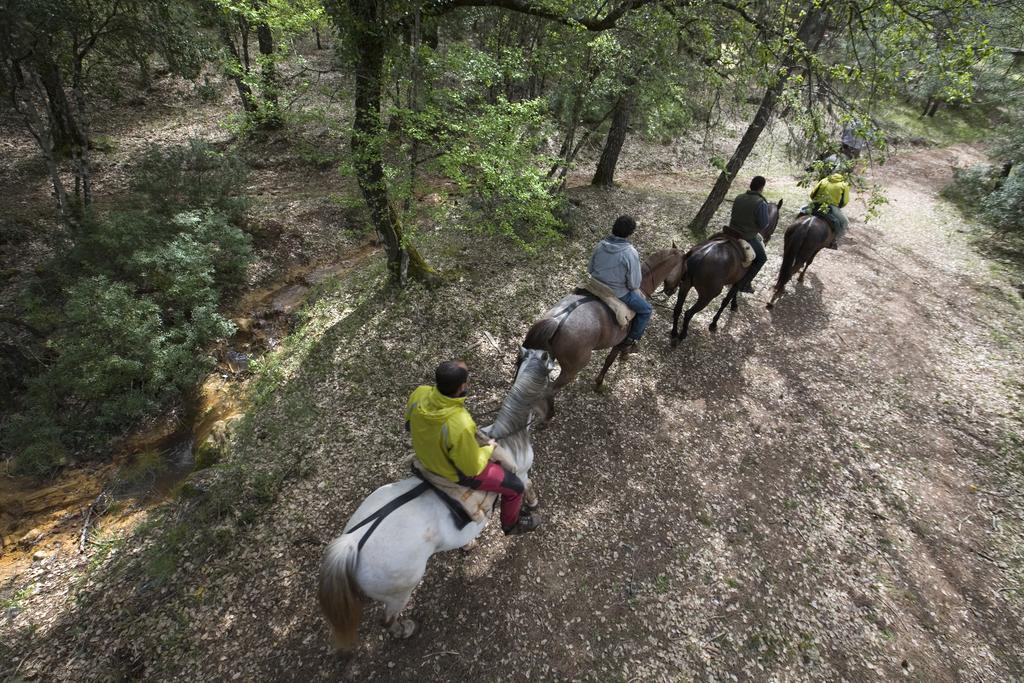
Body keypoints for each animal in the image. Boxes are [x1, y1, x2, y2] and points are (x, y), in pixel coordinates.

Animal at [317, 350, 552, 651]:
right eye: (551, 377)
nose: (549, 415)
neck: (509, 435)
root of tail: (354, 543)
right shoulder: (519, 474)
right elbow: (526, 487)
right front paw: (530, 511)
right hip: (400, 589)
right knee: (387, 619)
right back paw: (404, 629)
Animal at [524, 245, 684, 395]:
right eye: (683, 269)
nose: (672, 291)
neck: (643, 286)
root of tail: (558, 321)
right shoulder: (619, 342)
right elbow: (609, 360)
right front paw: (600, 382)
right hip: (570, 370)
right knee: (550, 391)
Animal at [667, 201, 778, 342]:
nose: (768, 238)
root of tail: (699, 256)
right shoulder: (740, 281)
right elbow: (725, 301)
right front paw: (714, 323)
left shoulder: (737, 280)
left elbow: (732, 295)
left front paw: (734, 305)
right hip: (707, 296)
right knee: (688, 313)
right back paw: (682, 335)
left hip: (685, 286)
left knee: (677, 309)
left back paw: (674, 333)